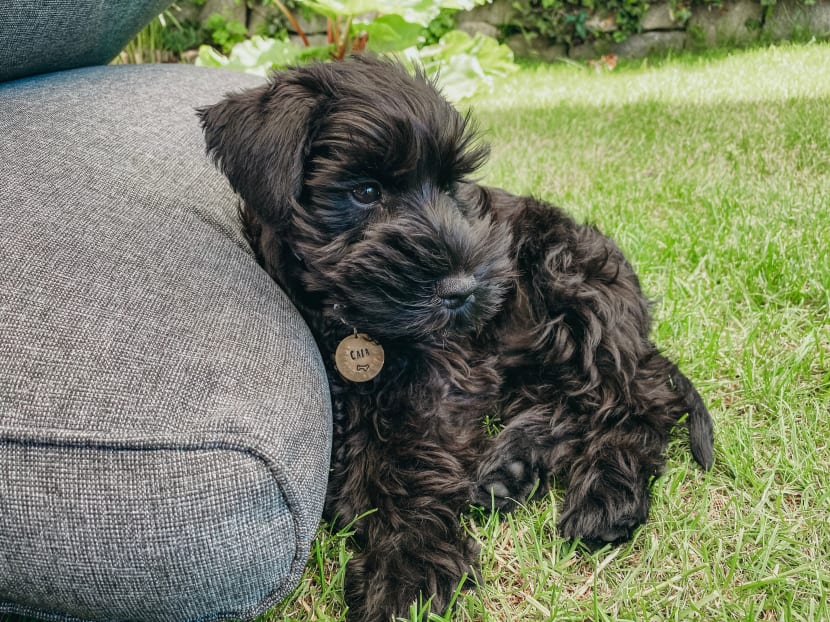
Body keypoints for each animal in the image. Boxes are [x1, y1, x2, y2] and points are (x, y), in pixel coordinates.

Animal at [202, 56, 716, 620]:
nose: (466, 289)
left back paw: (605, 494)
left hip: (571, 286)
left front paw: (407, 567)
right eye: (365, 191)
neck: (354, 321)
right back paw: (511, 466)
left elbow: (411, 459)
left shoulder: (445, 372)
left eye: (451, 185)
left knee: (638, 399)